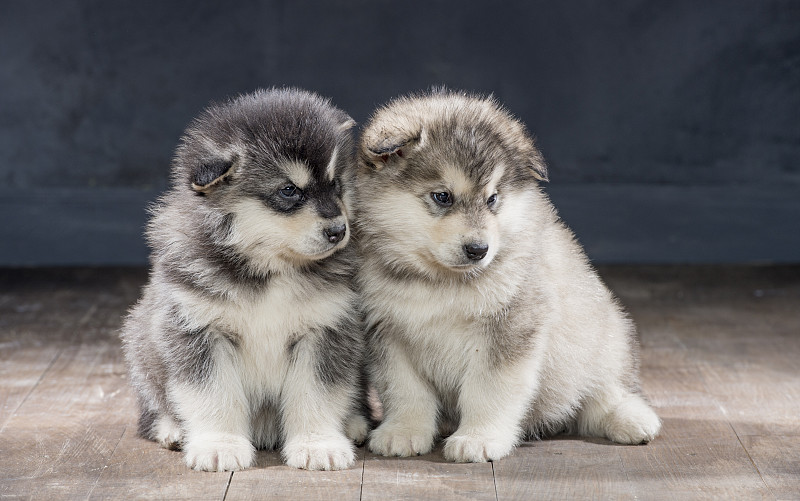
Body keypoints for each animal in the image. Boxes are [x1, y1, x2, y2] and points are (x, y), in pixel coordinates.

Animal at [120, 88, 368, 470]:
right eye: (288, 191)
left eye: (336, 184)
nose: (339, 231)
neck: (271, 267)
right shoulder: (197, 330)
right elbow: (214, 395)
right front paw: (219, 444)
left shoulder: (327, 329)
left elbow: (316, 393)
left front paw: (318, 443)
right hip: (140, 345)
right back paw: (170, 428)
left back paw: (354, 422)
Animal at [356, 90, 664, 460]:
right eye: (442, 196)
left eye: (492, 199)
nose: (478, 250)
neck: (440, 282)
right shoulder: (388, 333)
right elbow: (405, 390)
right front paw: (403, 431)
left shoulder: (510, 327)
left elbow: (488, 390)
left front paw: (479, 437)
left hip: (602, 341)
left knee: (602, 393)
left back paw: (631, 418)